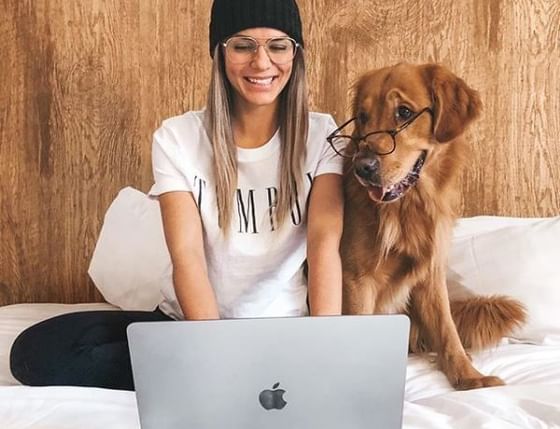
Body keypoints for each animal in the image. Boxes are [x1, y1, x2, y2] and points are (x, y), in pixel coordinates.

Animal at [332, 62, 528, 388]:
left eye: (404, 112)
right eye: (362, 116)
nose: (363, 168)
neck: (408, 207)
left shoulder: (430, 272)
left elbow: (447, 330)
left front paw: (469, 377)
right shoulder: (356, 278)